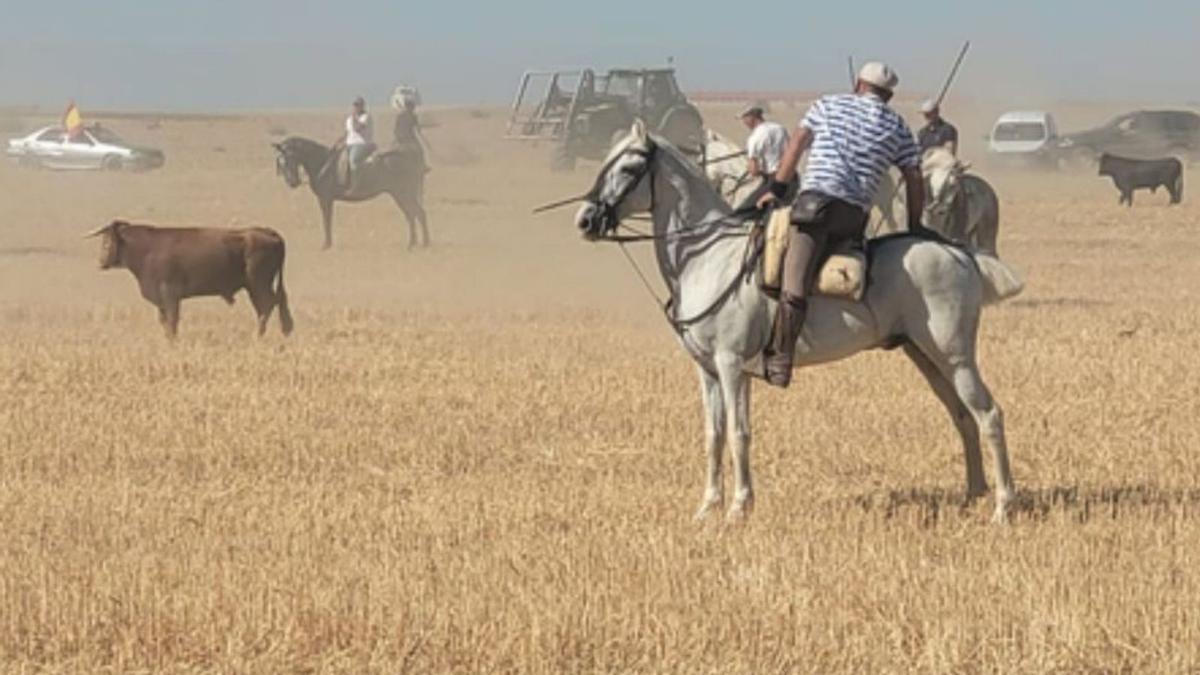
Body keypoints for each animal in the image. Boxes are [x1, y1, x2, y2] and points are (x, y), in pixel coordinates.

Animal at [86, 220, 292, 336]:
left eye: (106, 241)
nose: (101, 262)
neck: (147, 249)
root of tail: (269, 232)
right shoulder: (162, 301)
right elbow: (165, 323)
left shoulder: (170, 296)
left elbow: (172, 323)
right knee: (274, 303)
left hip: (257, 285)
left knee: (267, 306)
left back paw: (258, 336)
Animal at [270, 136, 429, 249]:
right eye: (281, 162)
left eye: (290, 158)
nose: (293, 182)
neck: (323, 163)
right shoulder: (327, 199)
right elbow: (327, 219)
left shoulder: (325, 199)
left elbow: (326, 220)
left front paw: (326, 245)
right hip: (401, 194)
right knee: (412, 214)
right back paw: (414, 243)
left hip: (402, 193)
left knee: (417, 213)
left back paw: (421, 243)